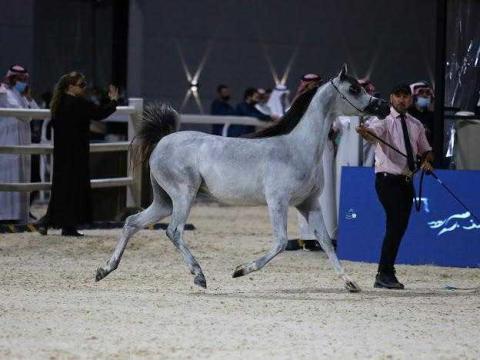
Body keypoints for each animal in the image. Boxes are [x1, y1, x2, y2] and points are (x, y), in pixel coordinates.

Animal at [96, 65, 390, 292]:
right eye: (354, 89)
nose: (384, 107)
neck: (296, 148)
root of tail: (162, 140)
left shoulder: (309, 203)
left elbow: (326, 242)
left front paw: (350, 282)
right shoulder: (277, 202)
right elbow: (280, 242)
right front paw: (240, 270)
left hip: (164, 201)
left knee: (132, 223)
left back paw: (105, 269)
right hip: (183, 195)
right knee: (174, 231)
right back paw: (199, 276)